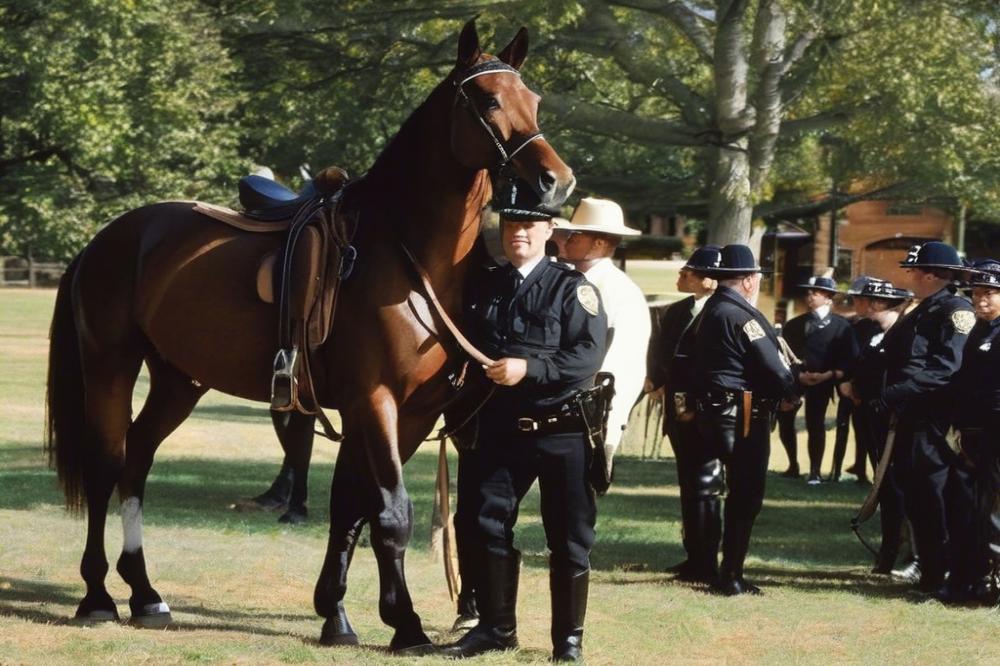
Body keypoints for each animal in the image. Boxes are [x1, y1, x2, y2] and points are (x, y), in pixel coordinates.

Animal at [45, 20, 572, 648]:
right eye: (489, 100)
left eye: (534, 101)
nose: (555, 182)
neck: (408, 257)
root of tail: (107, 238)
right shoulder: (375, 402)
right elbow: (391, 511)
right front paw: (406, 624)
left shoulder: (411, 413)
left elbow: (352, 506)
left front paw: (336, 615)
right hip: (110, 365)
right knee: (106, 465)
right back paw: (97, 596)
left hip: (179, 380)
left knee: (138, 460)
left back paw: (146, 593)